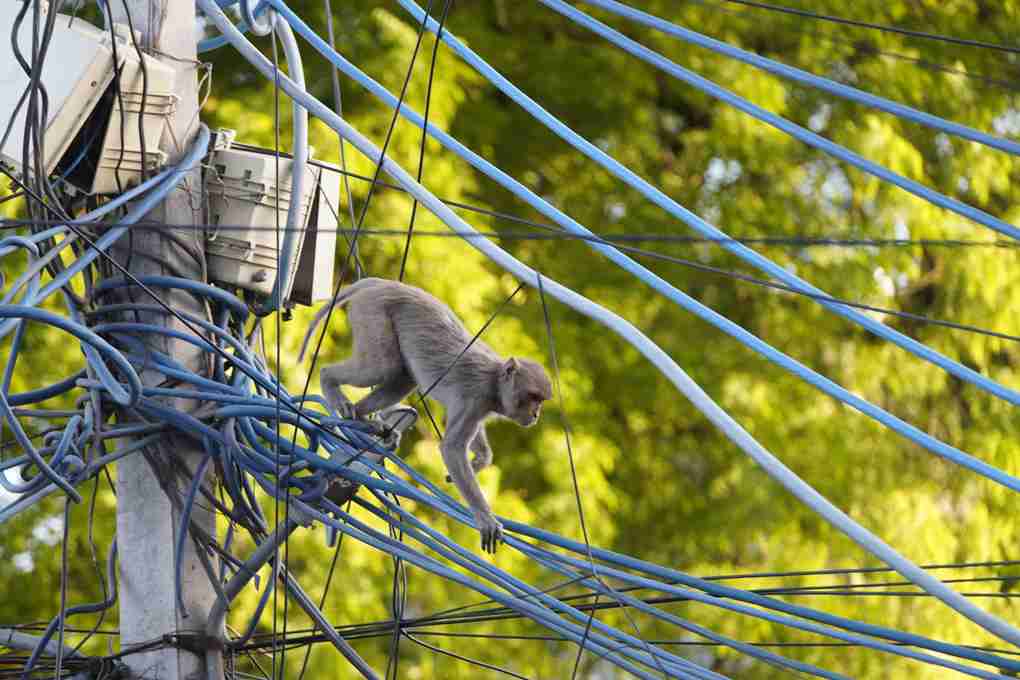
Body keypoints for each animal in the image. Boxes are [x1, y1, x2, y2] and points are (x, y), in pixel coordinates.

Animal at [298, 277, 553, 553]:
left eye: (540, 400)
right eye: (533, 397)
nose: (536, 414)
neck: (494, 381)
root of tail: (388, 284)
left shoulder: (481, 405)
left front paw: (480, 460)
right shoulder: (474, 398)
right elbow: (452, 448)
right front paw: (485, 518)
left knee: (401, 375)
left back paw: (364, 418)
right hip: (373, 312)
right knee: (381, 366)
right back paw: (330, 382)